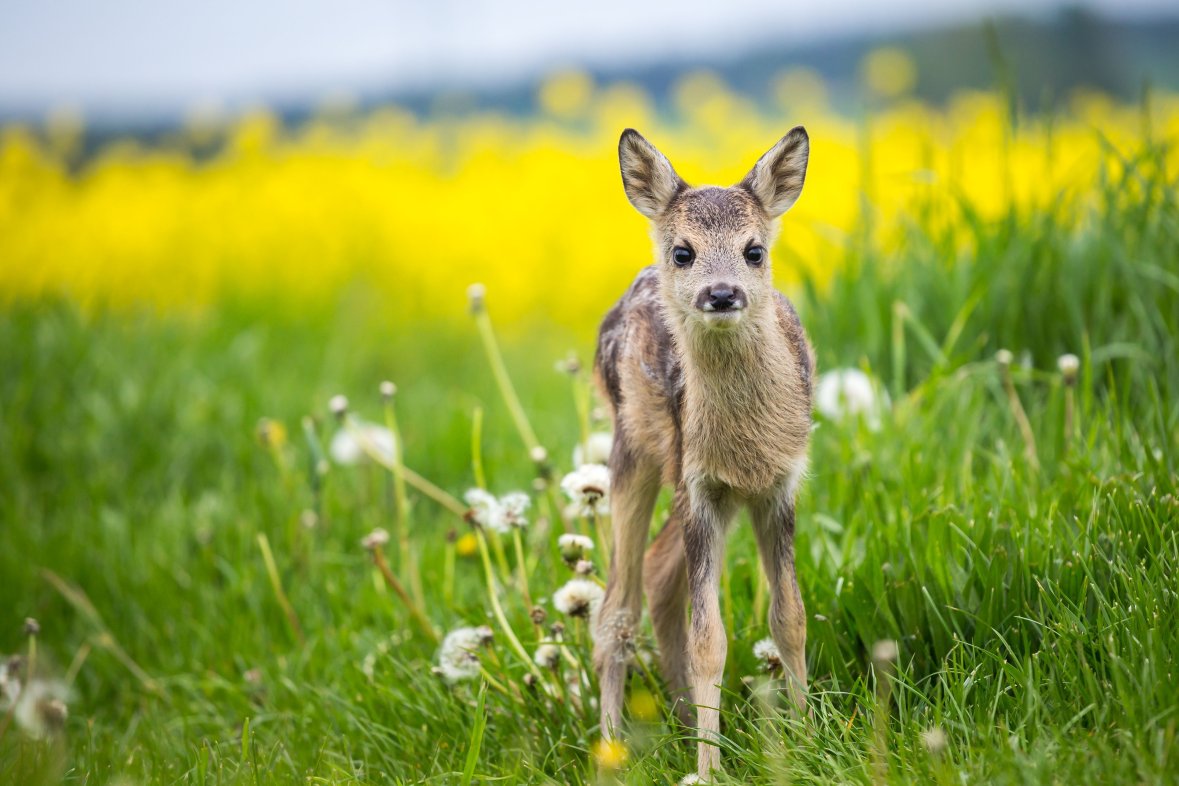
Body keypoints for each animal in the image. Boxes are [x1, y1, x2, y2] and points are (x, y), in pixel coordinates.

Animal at [591, 127, 815, 780]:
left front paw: (810, 737)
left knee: (658, 576)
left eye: (755, 250)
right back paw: (613, 748)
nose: (721, 293)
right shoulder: (701, 487)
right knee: (615, 608)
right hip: (636, 452)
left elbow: (790, 618)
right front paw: (711, 769)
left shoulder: (777, 486)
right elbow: (708, 639)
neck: (746, 442)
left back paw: (685, 718)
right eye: (684, 252)